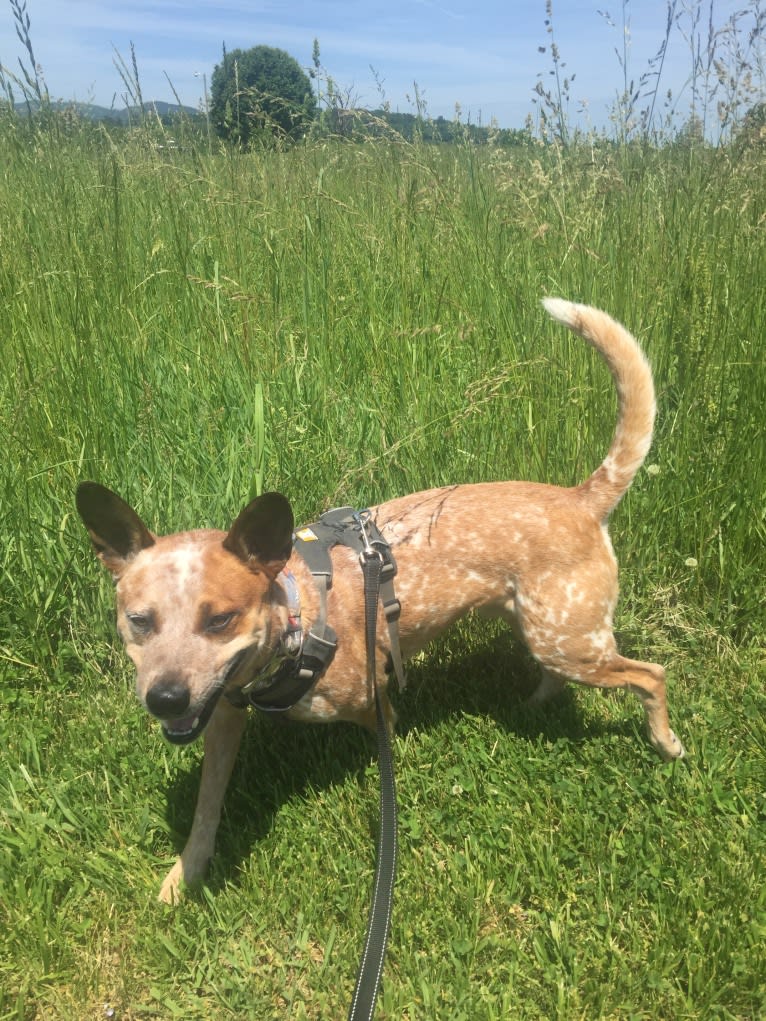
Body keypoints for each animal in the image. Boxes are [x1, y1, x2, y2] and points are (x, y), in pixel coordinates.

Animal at [78, 298, 686, 906]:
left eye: (221, 620)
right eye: (138, 621)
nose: (165, 700)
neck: (294, 618)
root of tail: (582, 499)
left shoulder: (376, 701)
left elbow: (386, 752)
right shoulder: (222, 716)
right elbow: (207, 809)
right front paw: (185, 877)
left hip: (572, 642)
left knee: (650, 674)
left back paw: (665, 743)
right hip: (544, 631)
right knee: (558, 673)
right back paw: (533, 705)